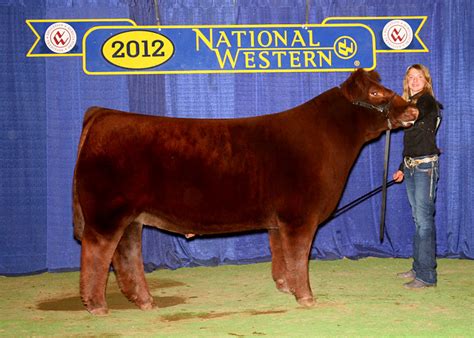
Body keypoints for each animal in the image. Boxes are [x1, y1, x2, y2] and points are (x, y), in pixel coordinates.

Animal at [72, 68, 416, 314]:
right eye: (376, 92)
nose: (412, 111)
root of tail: (104, 114)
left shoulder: (279, 221)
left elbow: (280, 253)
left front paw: (285, 287)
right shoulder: (300, 217)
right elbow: (298, 255)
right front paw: (305, 297)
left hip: (131, 217)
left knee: (126, 257)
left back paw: (144, 301)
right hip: (107, 214)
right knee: (96, 254)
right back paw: (97, 305)